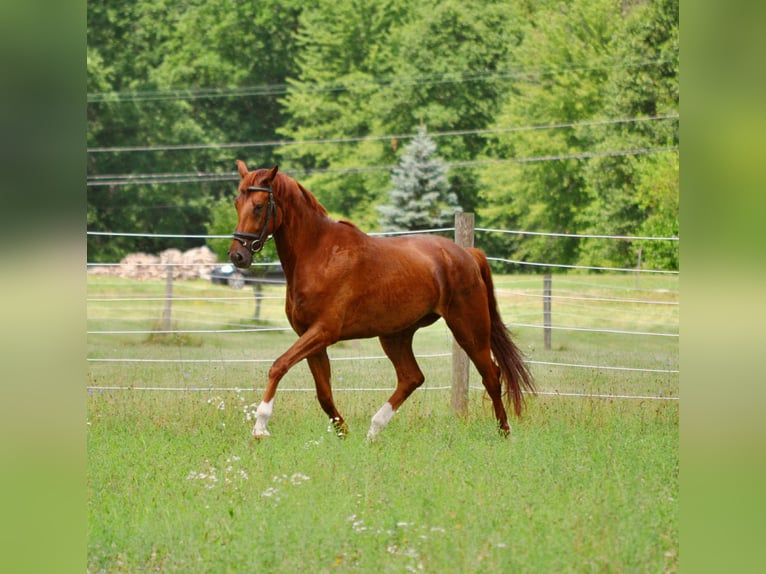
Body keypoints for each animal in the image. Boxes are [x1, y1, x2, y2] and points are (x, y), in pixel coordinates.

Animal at [229, 161, 535, 439]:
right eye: (236, 203)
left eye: (259, 206)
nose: (237, 256)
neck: (319, 255)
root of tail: (466, 254)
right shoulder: (311, 337)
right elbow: (324, 393)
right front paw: (344, 434)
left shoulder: (323, 332)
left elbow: (278, 366)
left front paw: (260, 426)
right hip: (396, 335)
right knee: (412, 377)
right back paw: (373, 430)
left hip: (469, 329)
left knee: (491, 375)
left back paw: (505, 433)